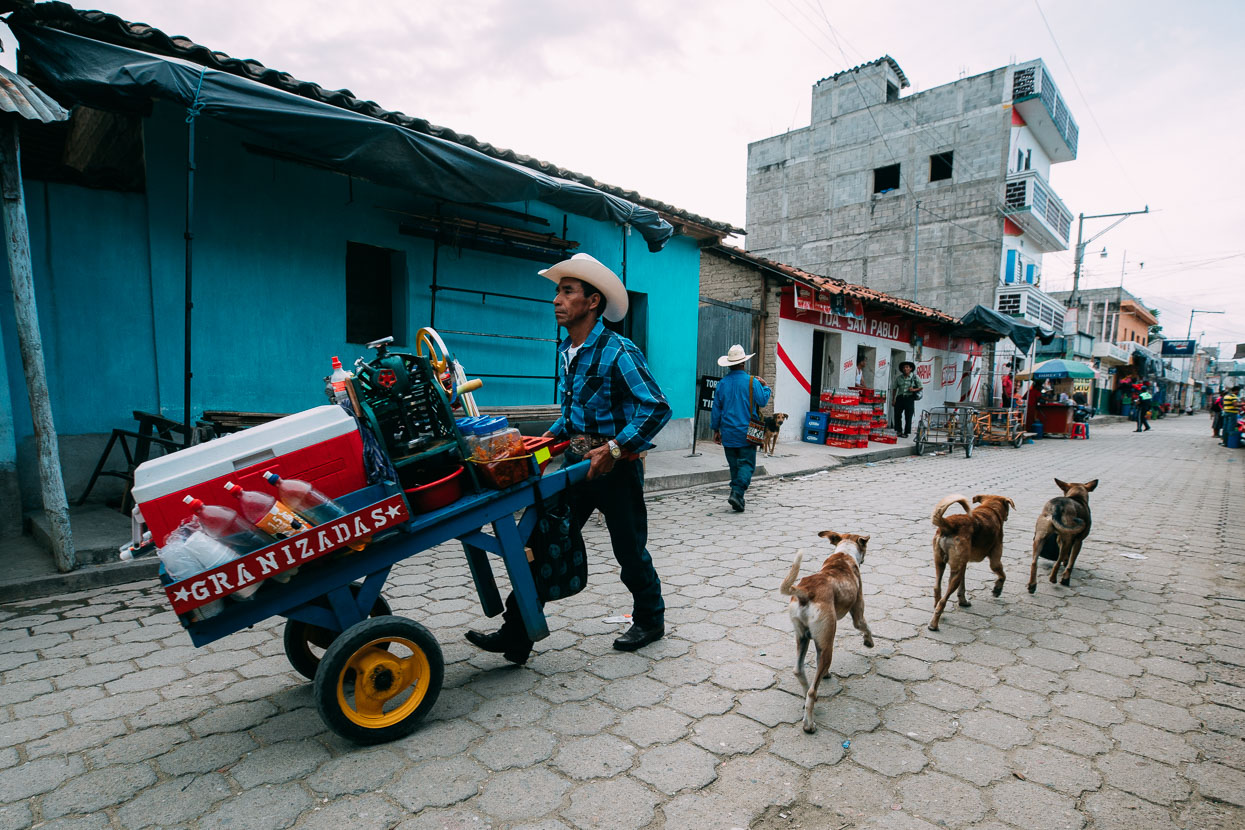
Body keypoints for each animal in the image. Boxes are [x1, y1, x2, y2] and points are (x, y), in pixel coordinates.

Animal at [776, 532, 876, 731]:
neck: (844, 554)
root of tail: (805, 591)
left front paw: (826, 674)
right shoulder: (857, 613)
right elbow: (865, 626)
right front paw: (869, 642)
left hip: (803, 638)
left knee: (799, 672)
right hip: (827, 643)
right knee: (812, 690)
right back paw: (809, 724)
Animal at [931, 492, 1015, 629]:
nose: (1007, 517)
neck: (990, 508)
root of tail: (949, 524)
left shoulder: (963, 565)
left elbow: (962, 587)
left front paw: (963, 601)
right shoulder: (995, 560)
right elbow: (1002, 575)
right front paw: (997, 589)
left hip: (941, 563)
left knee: (937, 589)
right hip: (954, 574)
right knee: (943, 600)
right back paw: (933, 624)